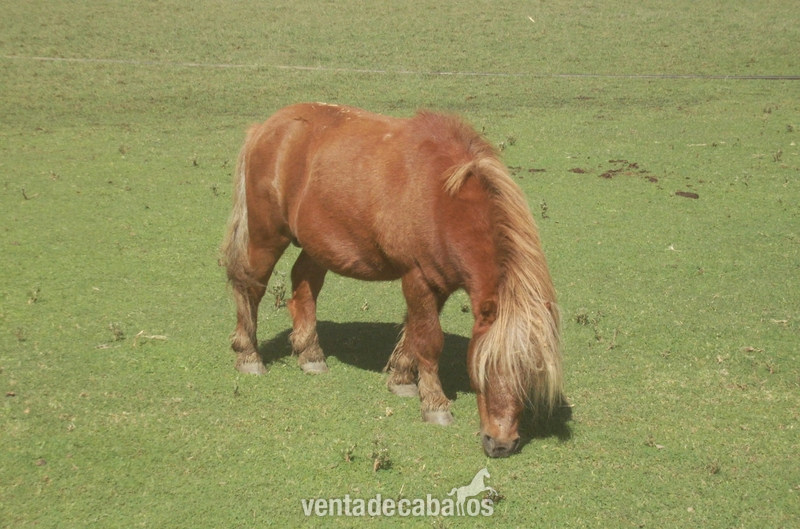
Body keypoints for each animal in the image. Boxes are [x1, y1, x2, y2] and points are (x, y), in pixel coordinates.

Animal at [221, 103, 564, 458]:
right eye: (486, 366)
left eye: (531, 374)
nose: (501, 443)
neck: (441, 197)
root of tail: (264, 128)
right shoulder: (417, 276)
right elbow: (429, 339)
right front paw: (435, 405)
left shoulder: (438, 283)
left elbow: (415, 331)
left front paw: (402, 380)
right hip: (266, 236)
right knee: (251, 287)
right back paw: (249, 356)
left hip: (317, 245)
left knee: (304, 285)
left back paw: (310, 355)